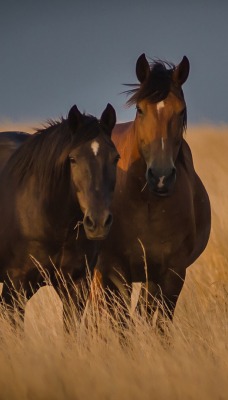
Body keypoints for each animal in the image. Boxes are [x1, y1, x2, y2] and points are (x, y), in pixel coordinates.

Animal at [97, 54, 211, 324]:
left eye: (181, 111)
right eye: (140, 109)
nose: (161, 177)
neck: (146, 204)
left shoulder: (171, 273)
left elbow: (159, 323)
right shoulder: (116, 270)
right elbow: (121, 323)